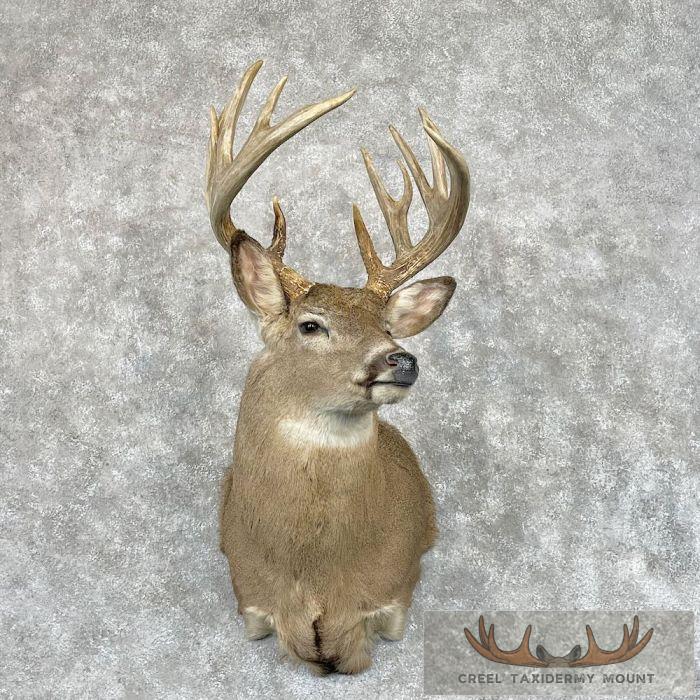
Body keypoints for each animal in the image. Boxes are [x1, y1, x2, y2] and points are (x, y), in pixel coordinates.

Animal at [204, 60, 470, 674]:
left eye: (389, 327)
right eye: (310, 325)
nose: (401, 358)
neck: (316, 577)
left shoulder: (393, 595)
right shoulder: (250, 597)